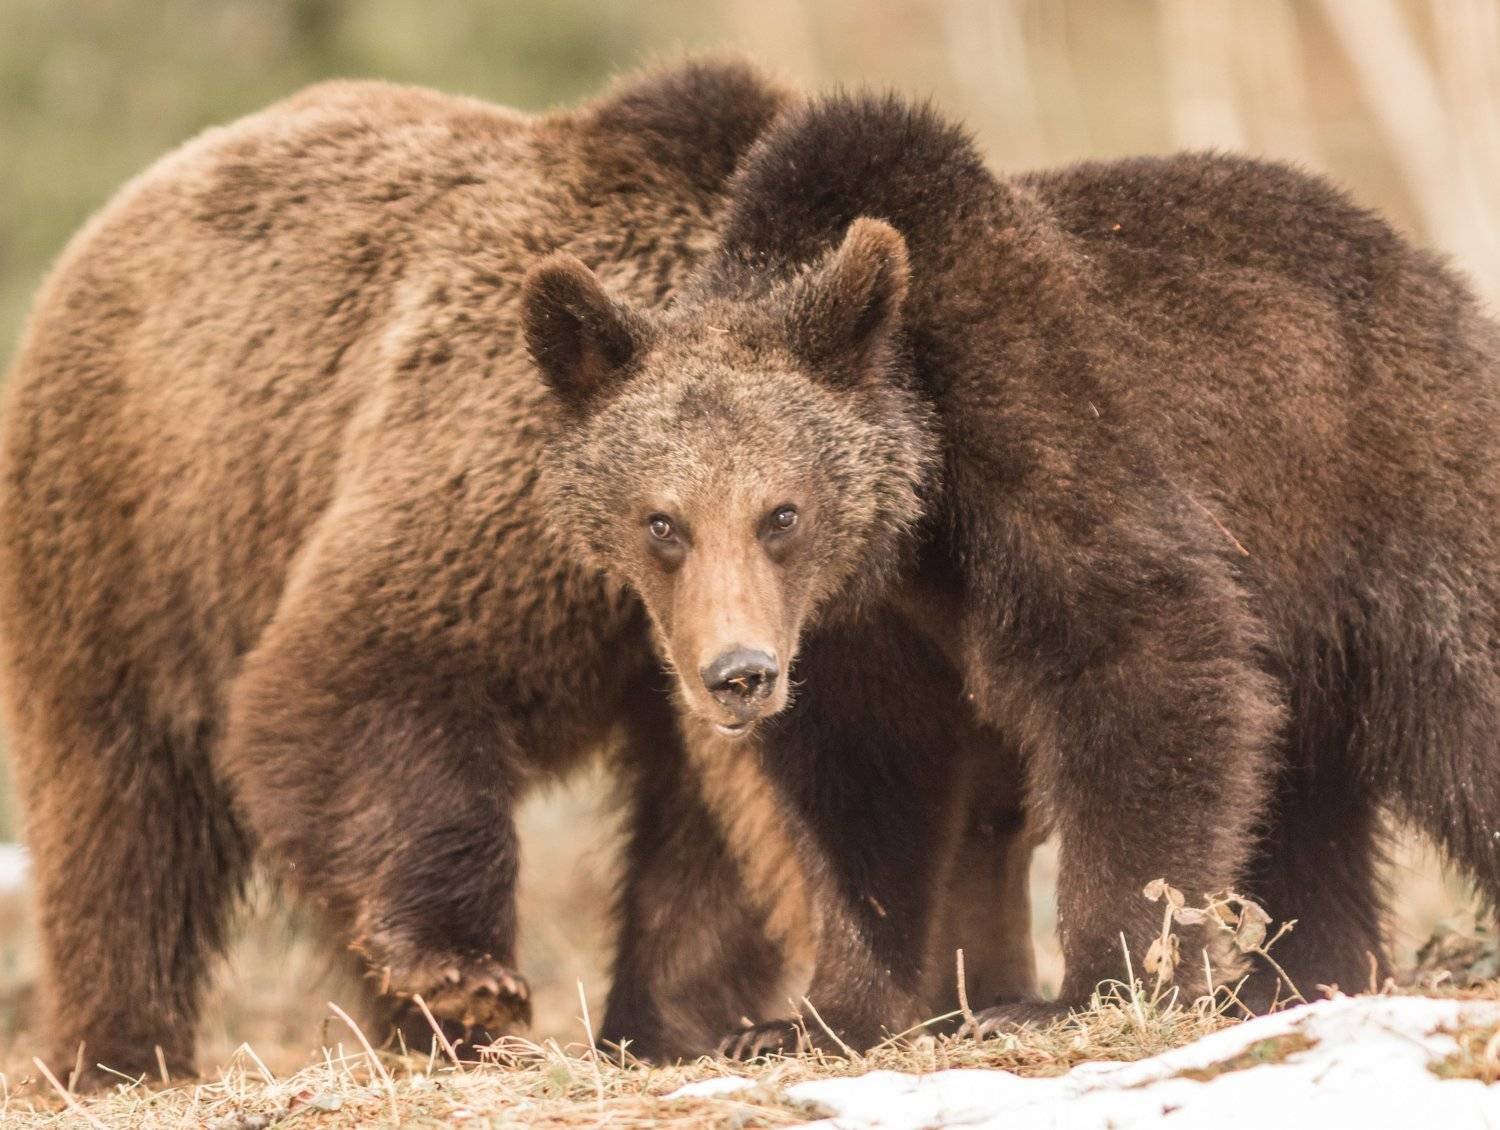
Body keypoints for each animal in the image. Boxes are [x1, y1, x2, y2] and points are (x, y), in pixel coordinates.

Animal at [0, 61, 1043, 1088]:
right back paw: (117, 1052)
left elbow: (706, 844)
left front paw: (676, 1022)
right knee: (123, 814)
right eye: (665, 522)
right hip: (139, 530)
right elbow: (362, 676)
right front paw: (467, 978)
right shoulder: (489, 499)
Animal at [521, 88, 1500, 1055]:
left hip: (1392, 499)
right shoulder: (851, 631)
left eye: (781, 514)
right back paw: (1301, 978)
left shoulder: (1037, 437)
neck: (912, 527)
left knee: (1462, 707)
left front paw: (1081, 989)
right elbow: (864, 787)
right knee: (1303, 799)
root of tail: (1434, 278)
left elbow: (1145, 655)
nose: (739, 674)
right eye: (662, 522)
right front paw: (807, 1019)